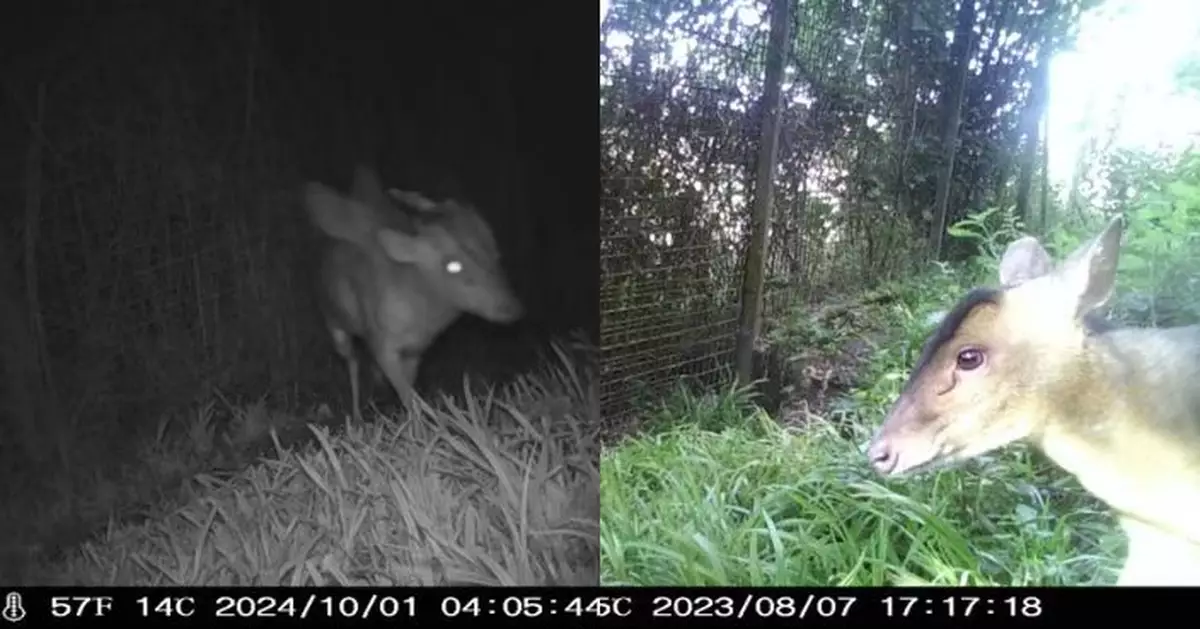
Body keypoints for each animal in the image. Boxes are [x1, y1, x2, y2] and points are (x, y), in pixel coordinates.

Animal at [302, 166, 523, 422]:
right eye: (452, 265)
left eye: (495, 249)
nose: (512, 308)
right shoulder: (383, 345)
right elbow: (408, 395)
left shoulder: (416, 351)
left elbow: (408, 391)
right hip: (335, 325)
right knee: (352, 362)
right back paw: (356, 415)